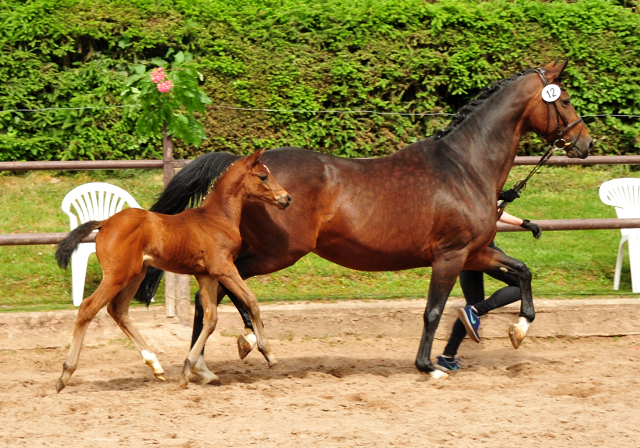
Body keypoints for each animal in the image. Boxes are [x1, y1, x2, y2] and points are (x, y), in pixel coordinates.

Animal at [55, 148, 290, 392]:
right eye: (263, 176)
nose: (286, 198)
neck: (217, 218)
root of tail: (105, 222)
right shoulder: (223, 268)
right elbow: (251, 301)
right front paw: (269, 354)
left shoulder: (206, 275)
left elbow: (211, 318)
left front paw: (188, 370)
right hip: (117, 276)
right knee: (87, 308)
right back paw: (65, 374)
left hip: (135, 275)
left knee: (118, 310)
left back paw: (155, 365)